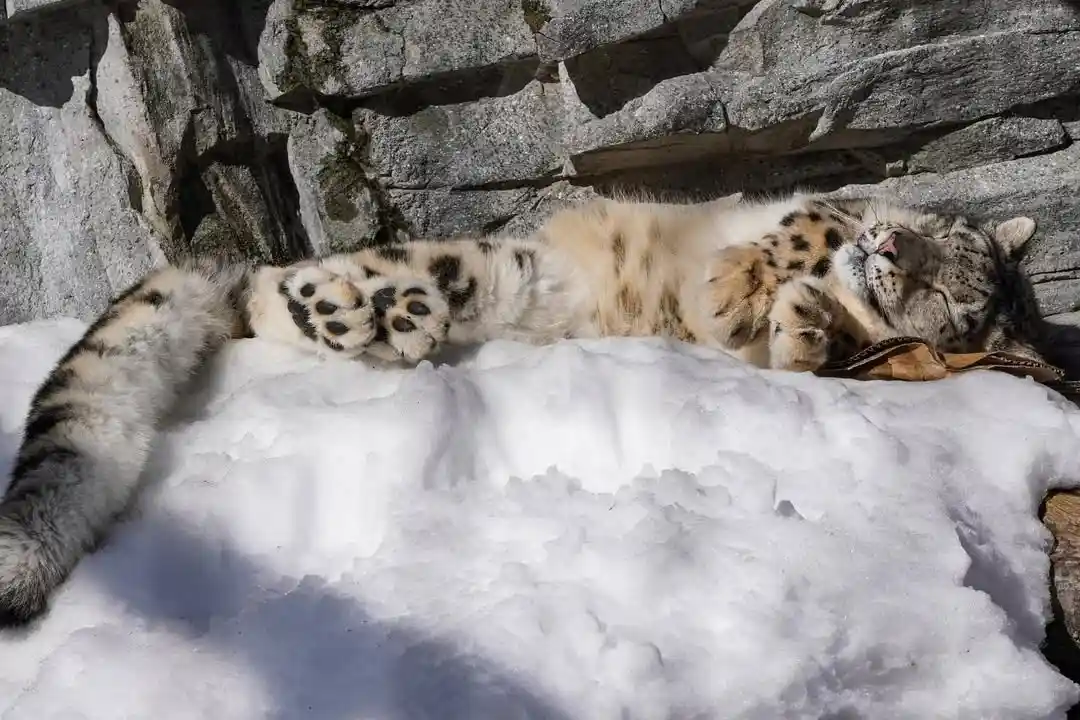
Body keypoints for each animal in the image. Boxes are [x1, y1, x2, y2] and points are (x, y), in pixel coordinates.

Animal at [0, 191, 1042, 626]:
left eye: (948, 299)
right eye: (935, 239)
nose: (888, 247)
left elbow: (803, 346)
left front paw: (799, 322)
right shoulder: (828, 207)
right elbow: (806, 223)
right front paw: (747, 278)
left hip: (497, 287)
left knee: (280, 306)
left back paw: (376, 318)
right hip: (475, 260)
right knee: (265, 286)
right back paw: (346, 299)